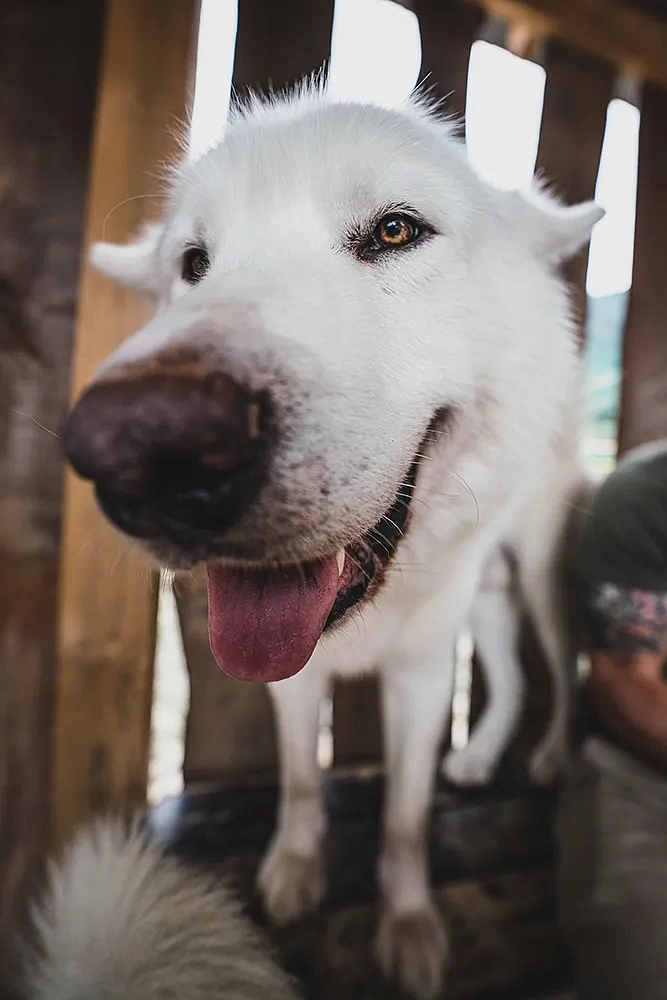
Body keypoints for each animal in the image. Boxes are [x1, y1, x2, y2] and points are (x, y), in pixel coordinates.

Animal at [61, 86, 600, 1000]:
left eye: (395, 231)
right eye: (193, 264)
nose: (142, 449)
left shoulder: (421, 672)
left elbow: (406, 820)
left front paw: (409, 926)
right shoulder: (294, 684)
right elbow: (301, 780)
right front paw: (293, 872)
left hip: (533, 578)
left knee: (559, 674)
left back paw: (551, 757)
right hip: (486, 601)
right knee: (513, 681)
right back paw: (481, 757)